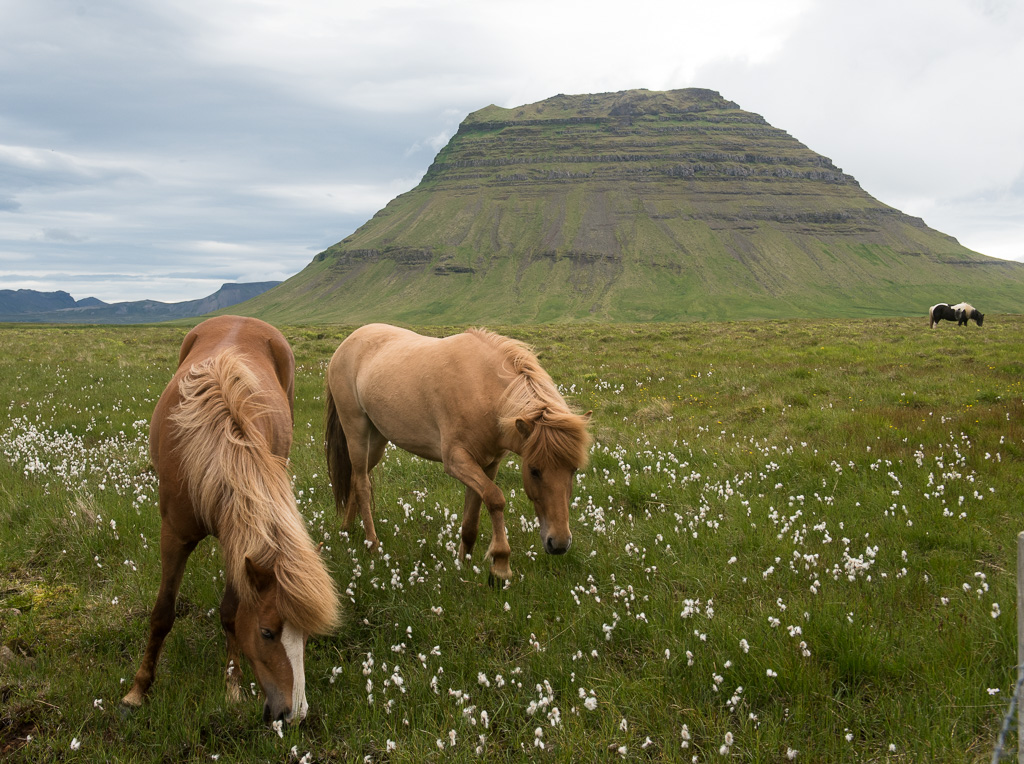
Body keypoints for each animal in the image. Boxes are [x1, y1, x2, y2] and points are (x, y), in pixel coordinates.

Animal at [122, 313, 339, 725]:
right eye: (268, 633)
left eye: (306, 637)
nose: (295, 715)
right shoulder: (173, 535)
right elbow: (162, 613)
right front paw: (138, 690)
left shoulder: (238, 542)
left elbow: (230, 612)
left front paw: (232, 686)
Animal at [319, 321, 593, 577]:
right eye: (534, 470)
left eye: (574, 470)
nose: (559, 543)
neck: (481, 388)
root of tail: (347, 343)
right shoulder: (457, 461)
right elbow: (496, 499)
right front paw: (501, 563)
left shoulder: (487, 465)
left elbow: (473, 517)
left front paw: (464, 564)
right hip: (356, 429)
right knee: (363, 485)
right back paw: (372, 544)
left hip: (376, 440)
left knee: (357, 477)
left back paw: (347, 529)